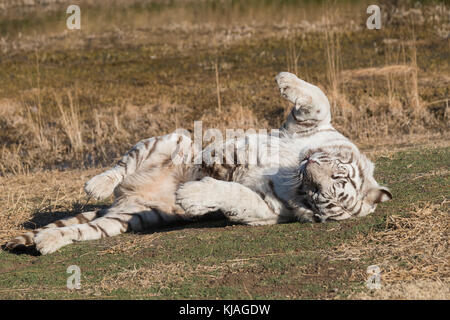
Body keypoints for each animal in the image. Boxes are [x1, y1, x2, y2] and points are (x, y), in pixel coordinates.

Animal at [5, 72, 392, 255]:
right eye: (335, 172)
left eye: (321, 196)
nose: (308, 172)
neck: (291, 173)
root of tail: (125, 198)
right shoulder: (310, 127)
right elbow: (318, 99)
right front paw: (285, 79)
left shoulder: (266, 209)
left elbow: (233, 195)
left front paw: (192, 195)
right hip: (175, 139)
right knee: (120, 167)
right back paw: (96, 185)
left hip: (126, 220)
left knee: (76, 230)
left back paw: (45, 242)